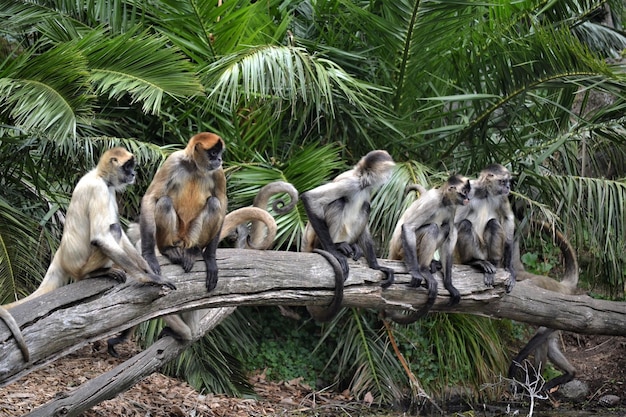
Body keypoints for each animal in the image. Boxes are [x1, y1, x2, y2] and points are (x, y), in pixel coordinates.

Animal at [3, 149, 176, 360]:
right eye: (128, 166)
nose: (133, 174)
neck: (99, 176)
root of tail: (61, 254)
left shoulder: (109, 190)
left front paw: (149, 269)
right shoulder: (100, 189)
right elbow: (101, 236)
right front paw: (149, 278)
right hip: (81, 265)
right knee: (113, 229)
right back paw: (95, 273)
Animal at [300, 150, 392, 322]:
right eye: (388, 170)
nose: (390, 176)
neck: (362, 181)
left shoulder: (367, 190)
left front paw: (375, 266)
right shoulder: (351, 183)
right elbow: (309, 198)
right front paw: (333, 252)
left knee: (365, 206)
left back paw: (352, 246)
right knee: (338, 201)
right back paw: (335, 247)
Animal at [386, 174, 468, 324]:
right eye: (464, 192)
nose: (468, 198)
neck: (443, 201)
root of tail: (392, 249)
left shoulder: (451, 208)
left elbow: (450, 238)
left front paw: (449, 284)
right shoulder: (433, 201)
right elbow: (408, 227)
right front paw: (416, 272)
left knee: (445, 228)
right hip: (402, 247)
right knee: (433, 227)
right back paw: (423, 268)